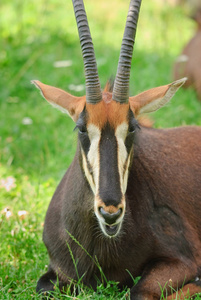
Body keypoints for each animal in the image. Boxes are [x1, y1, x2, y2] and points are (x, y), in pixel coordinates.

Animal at [32, 0, 201, 298]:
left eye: (132, 128)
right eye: (81, 128)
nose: (110, 213)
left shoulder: (182, 260)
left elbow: (139, 291)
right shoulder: (58, 272)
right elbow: (44, 287)